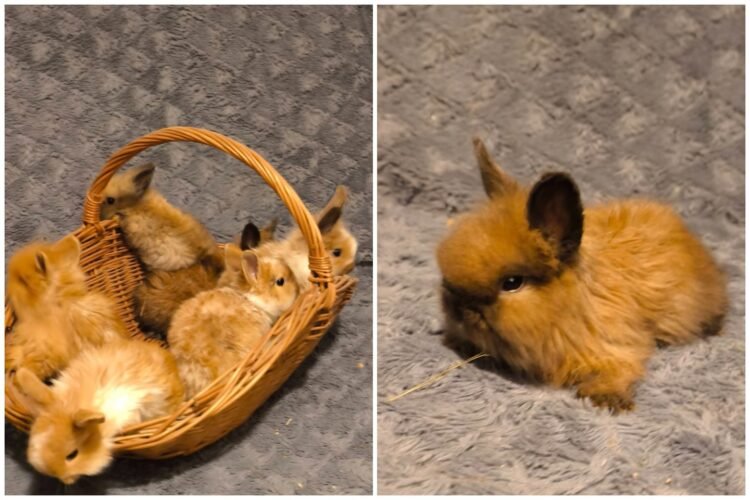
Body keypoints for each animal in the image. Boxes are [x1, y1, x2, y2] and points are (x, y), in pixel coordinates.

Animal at [436, 138, 728, 412]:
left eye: (512, 283)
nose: (460, 310)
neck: (568, 312)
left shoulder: (619, 347)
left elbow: (624, 368)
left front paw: (606, 399)